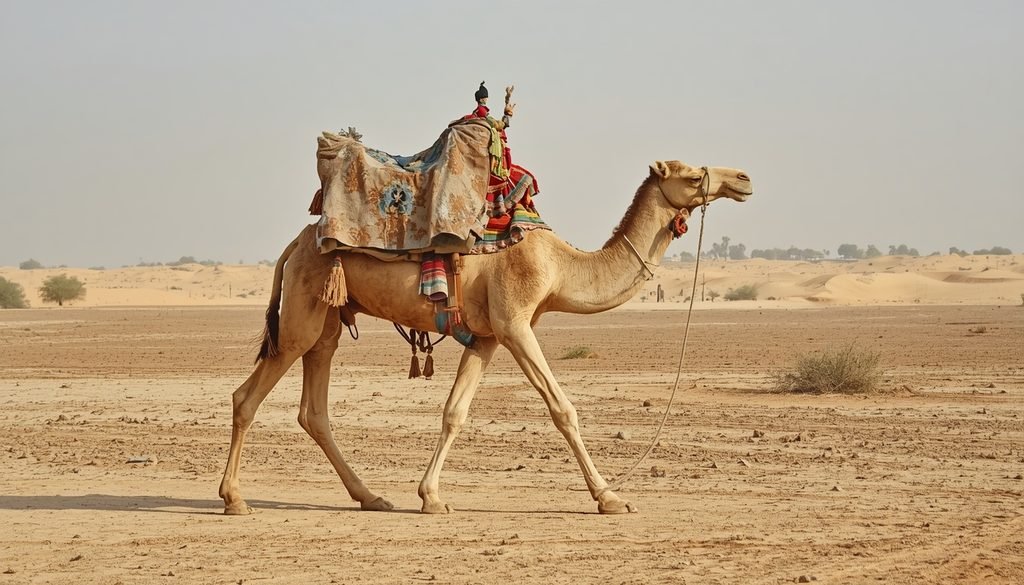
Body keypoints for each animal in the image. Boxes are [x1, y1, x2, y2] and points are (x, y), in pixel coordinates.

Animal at [219, 160, 752, 515]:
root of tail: (292, 246)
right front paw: (610, 497)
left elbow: (454, 411)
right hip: (301, 317)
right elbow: (563, 410)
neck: (561, 266)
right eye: (693, 175)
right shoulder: (516, 322)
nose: (743, 179)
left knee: (315, 410)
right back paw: (235, 498)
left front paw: (431, 497)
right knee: (247, 397)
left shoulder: (488, 336)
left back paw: (371, 497)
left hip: (326, 318)